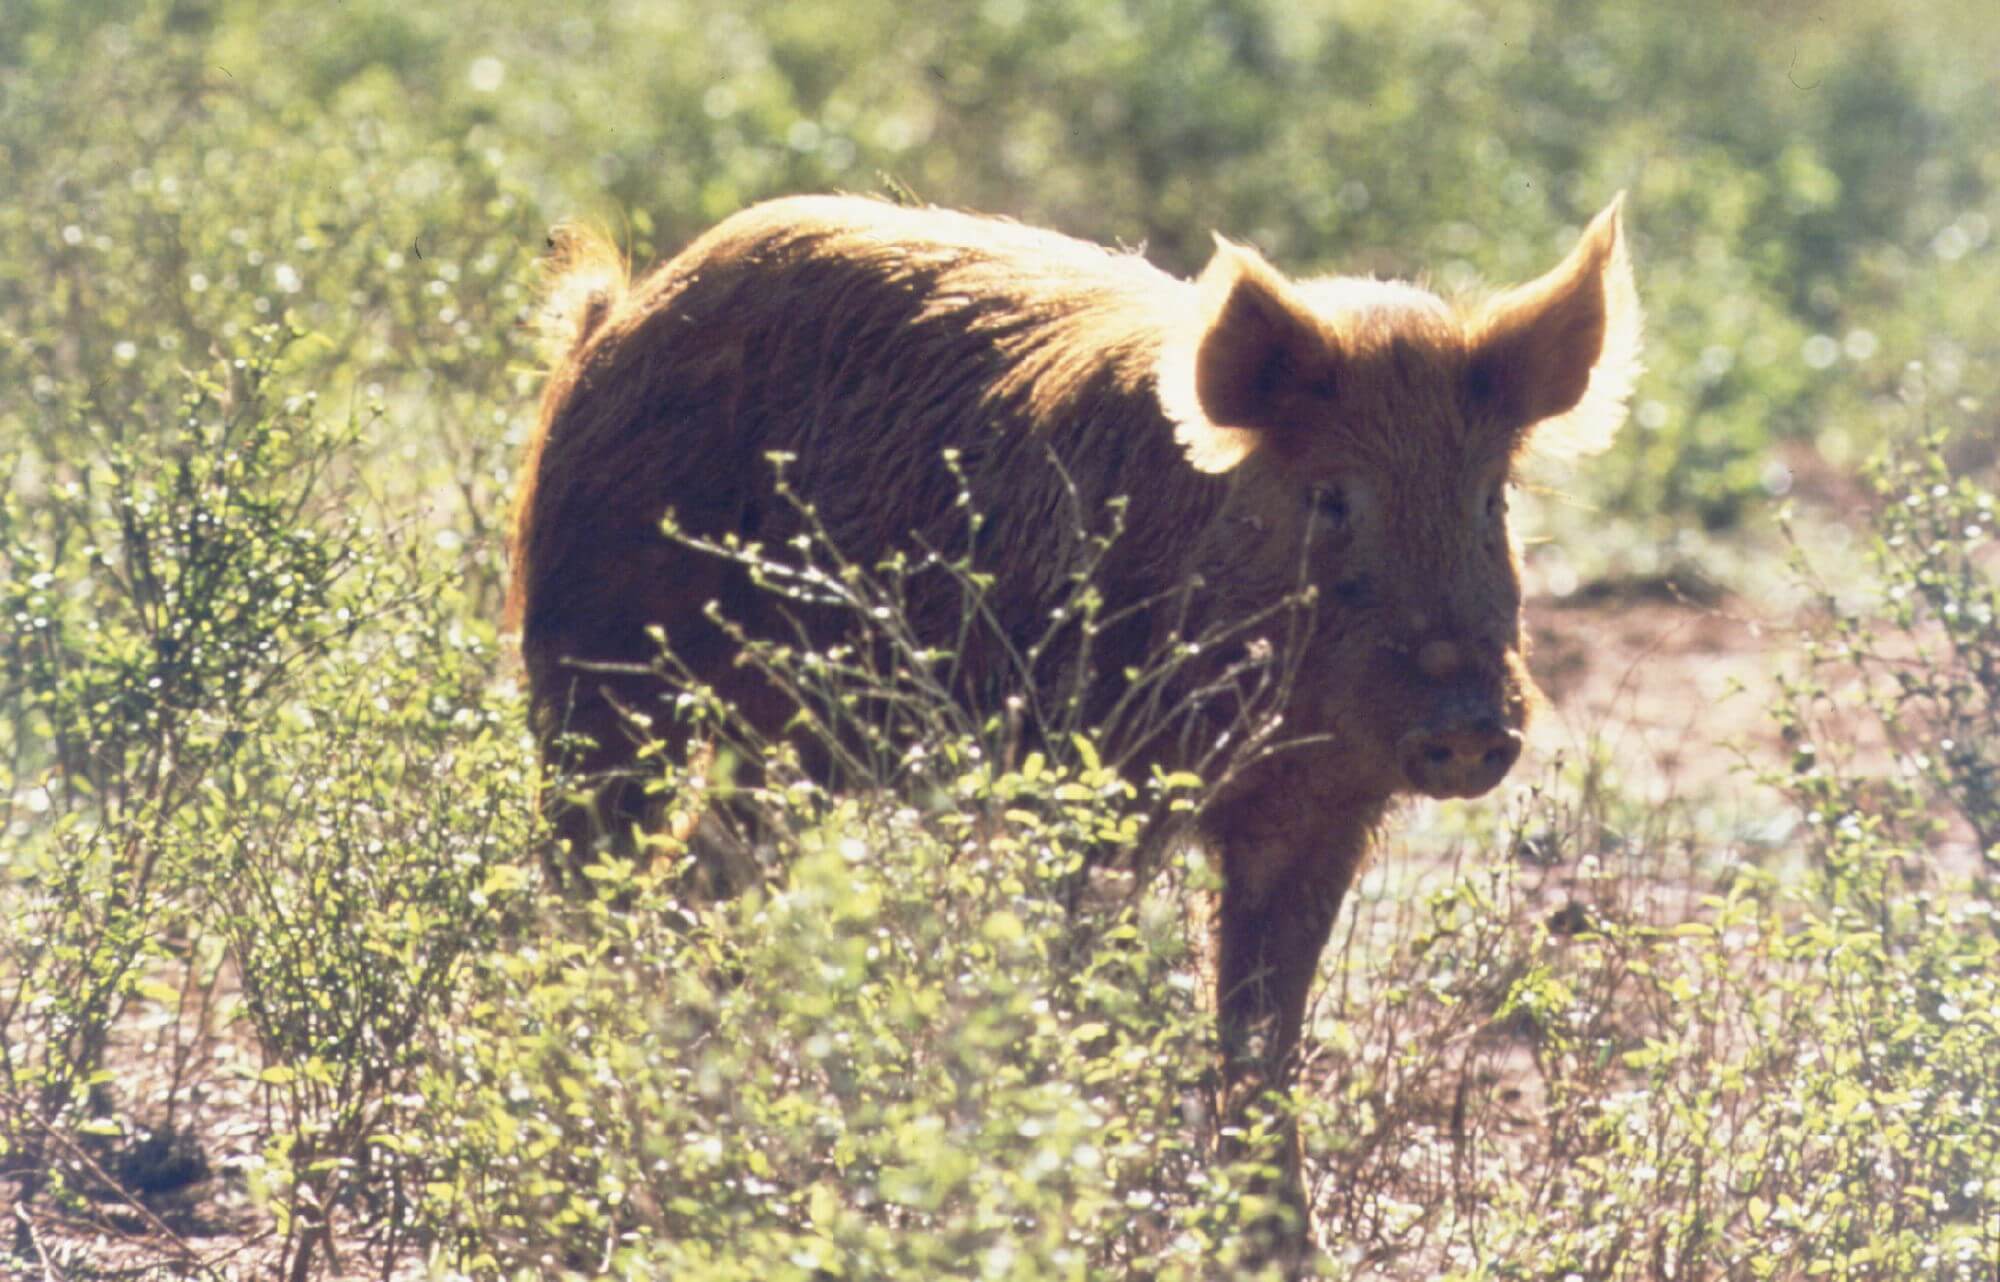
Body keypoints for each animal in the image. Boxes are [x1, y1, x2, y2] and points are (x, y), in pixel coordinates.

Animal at [507, 193, 1640, 1258]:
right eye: (1331, 498)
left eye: (1489, 500)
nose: (1470, 727)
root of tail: (617, 316)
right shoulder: (1084, 785)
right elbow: (1077, 981)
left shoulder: (1316, 815)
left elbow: (1263, 1028)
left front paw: (1283, 1244)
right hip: (597, 672)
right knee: (590, 878)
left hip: (781, 747)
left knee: (709, 871)